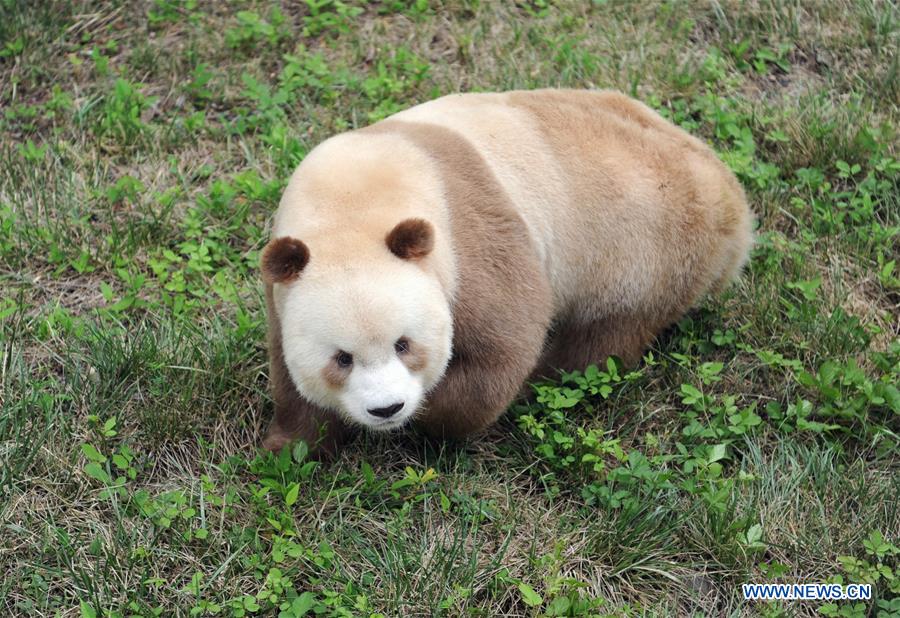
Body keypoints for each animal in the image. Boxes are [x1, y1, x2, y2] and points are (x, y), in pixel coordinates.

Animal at [260, 89, 753, 455]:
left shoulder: (467, 237)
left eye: (404, 344)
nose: (387, 409)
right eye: (341, 358)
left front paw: (430, 415)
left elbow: (503, 344)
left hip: (645, 251)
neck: (351, 204)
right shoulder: (284, 285)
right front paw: (289, 447)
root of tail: (732, 202)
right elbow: (288, 369)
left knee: (603, 339)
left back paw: (546, 377)